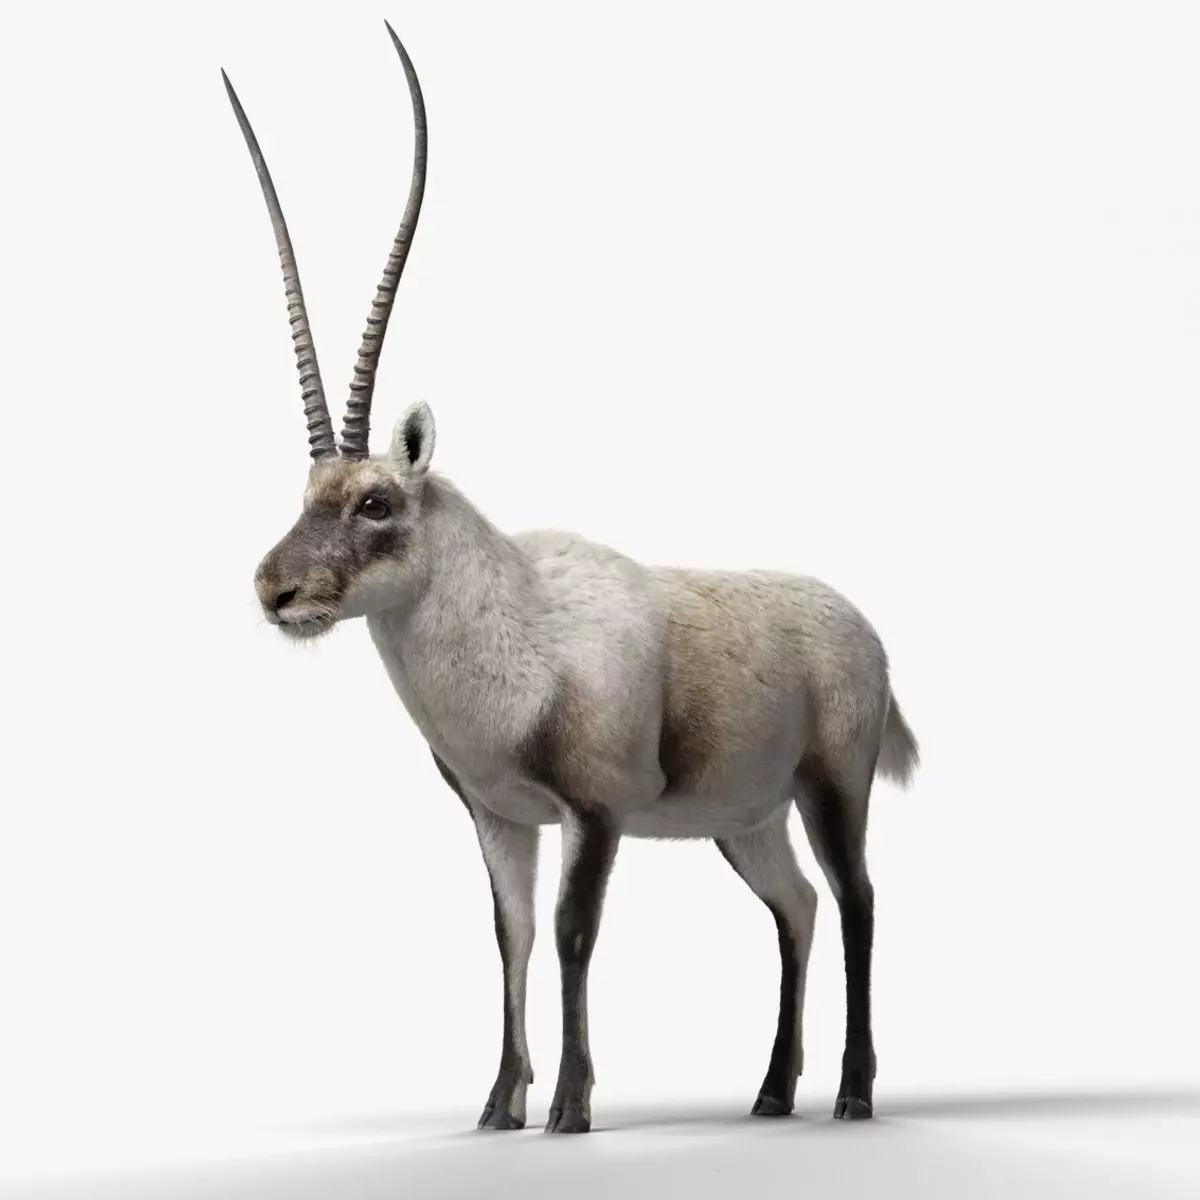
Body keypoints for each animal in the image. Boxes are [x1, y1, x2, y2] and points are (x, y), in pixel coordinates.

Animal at [224, 22, 919, 1135]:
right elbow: (508, 936)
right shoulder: (502, 815)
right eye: (308, 493)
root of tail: (861, 626)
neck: (516, 630)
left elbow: (570, 934)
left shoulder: (594, 814)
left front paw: (569, 1108)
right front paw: (497, 1108)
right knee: (799, 906)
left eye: (375, 502)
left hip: (831, 787)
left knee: (855, 901)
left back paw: (853, 1095)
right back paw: (773, 1094)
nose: (276, 591)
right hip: (746, 821)